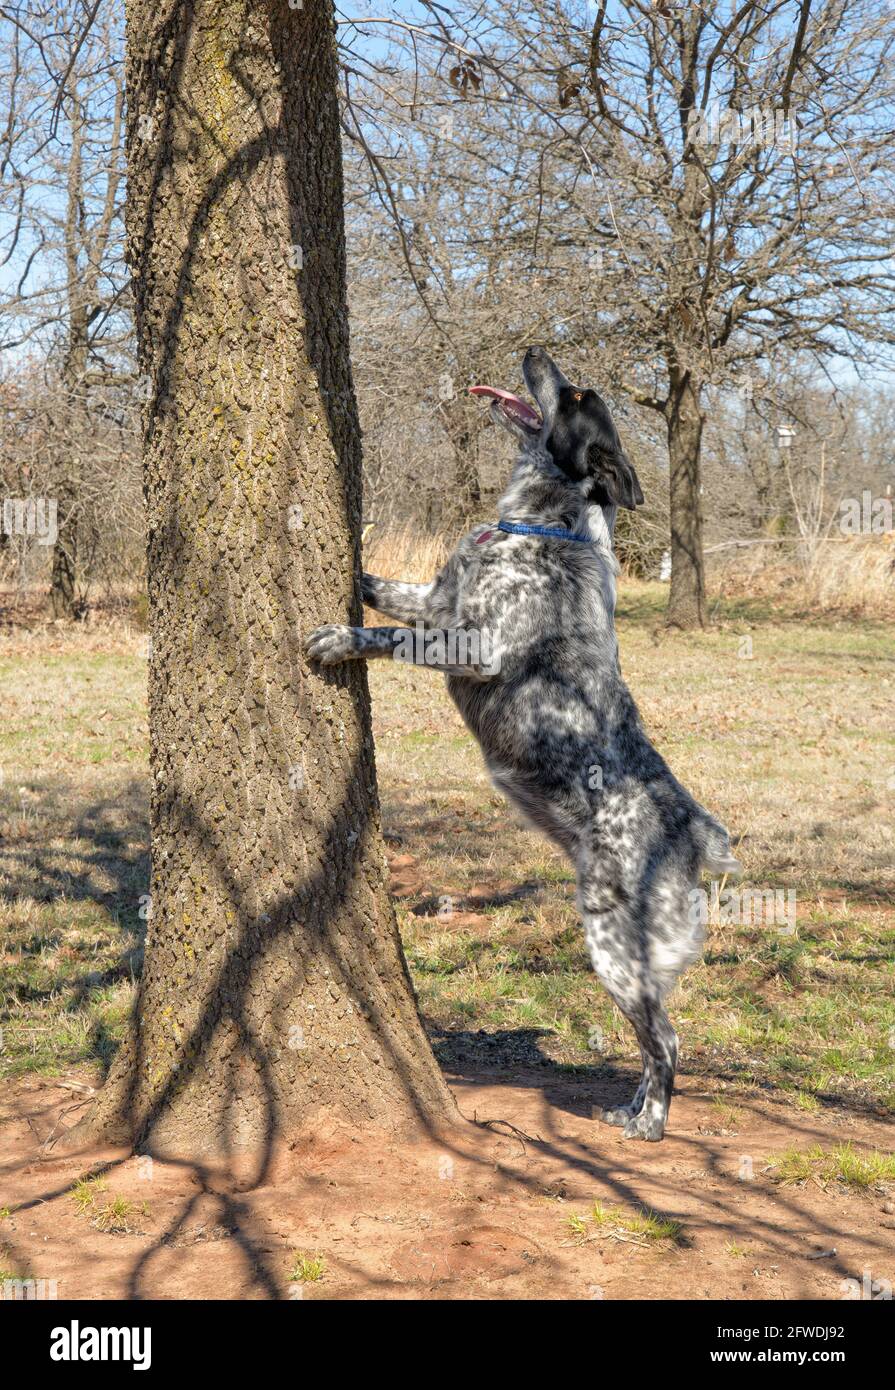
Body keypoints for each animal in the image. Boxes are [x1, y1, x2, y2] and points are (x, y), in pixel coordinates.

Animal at [304, 347, 739, 1139]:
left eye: (573, 395)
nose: (536, 350)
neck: (539, 525)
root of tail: (694, 830)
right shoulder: (435, 600)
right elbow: (382, 587)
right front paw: (353, 564)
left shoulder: (468, 643)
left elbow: (386, 635)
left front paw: (339, 638)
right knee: (654, 1039)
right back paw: (629, 1107)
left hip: (613, 948)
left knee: (665, 1039)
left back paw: (650, 1122)